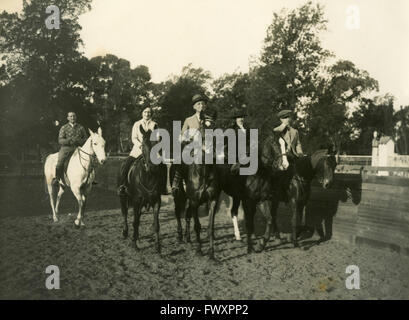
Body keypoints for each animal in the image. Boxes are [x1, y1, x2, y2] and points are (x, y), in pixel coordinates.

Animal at [118, 126, 164, 254]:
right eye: (143, 145)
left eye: (157, 143)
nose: (153, 167)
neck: (148, 176)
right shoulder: (136, 200)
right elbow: (135, 222)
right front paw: (134, 245)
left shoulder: (156, 201)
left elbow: (156, 224)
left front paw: (157, 246)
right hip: (123, 197)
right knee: (125, 213)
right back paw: (126, 232)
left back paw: (137, 236)